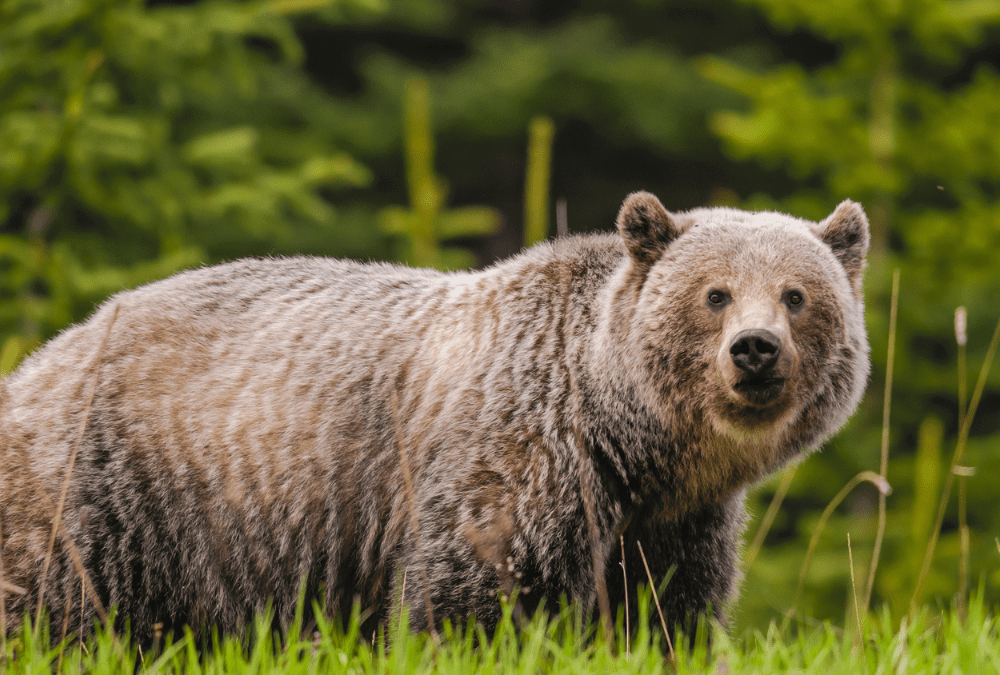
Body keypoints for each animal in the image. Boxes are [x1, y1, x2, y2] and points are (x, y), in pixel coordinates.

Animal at [0, 192, 870, 644]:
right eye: (715, 292)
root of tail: (45, 355)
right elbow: (469, 596)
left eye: (797, 293)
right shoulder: (514, 464)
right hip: (109, 490)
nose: (754, 349)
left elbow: (667, 614)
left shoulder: (671, 523)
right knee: (46, 603)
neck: (631, 443)